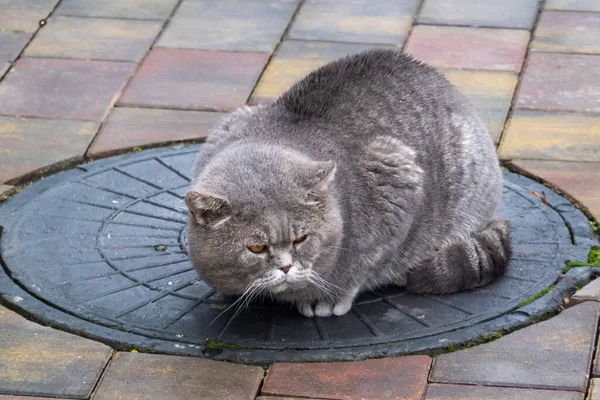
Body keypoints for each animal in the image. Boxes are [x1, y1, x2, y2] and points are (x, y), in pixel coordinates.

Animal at [186, 49, 510, 318]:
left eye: (301, 239)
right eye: (256, 248)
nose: (286, 266)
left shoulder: (398, 179)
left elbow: (362, 264)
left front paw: (326, 297)